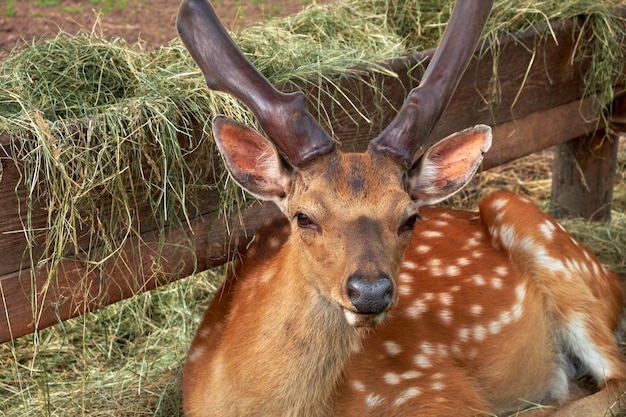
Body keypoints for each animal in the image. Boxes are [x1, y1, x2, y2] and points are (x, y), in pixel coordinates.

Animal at [176, 0, 624, 414]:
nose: (370, 291)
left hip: (538, 234)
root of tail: (613, 278)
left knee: (612, 382)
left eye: (410, 217)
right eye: (303, 217)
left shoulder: (437, 388)